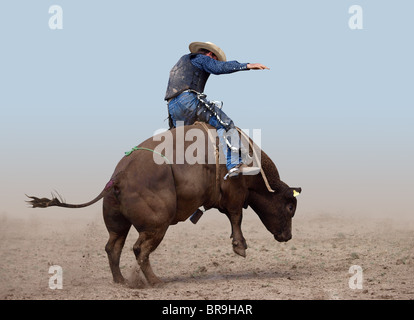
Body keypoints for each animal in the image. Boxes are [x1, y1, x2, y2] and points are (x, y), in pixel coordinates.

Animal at [27, 124, 302, 286]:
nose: (288, 236)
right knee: (139, 249)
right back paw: (155, 281)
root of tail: (119, 176)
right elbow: (236, 216)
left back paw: (121, 281)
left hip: (118, 223)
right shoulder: (234, 192)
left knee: (113, 247)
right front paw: (240, 246)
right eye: (290, 207)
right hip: (157, 224)